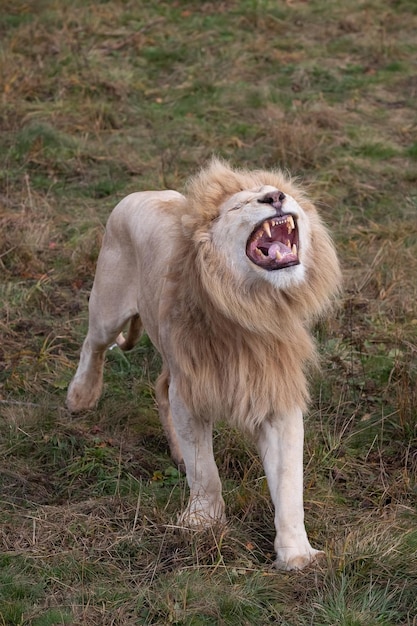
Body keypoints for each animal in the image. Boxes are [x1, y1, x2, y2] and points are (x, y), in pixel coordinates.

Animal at [66, 158, 340, 568]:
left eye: (276, 192)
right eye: (240, 205)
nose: (276, 197)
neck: (250, 308)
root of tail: (145, 192)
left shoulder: (275, 396)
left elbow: (290, 484)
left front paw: (297, 554)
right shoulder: (191, 391)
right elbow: (205, 469)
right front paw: (203, 521)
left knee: (160, 386)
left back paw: (175, 452)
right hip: (108, 308)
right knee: (92, 345)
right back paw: (81, 396)